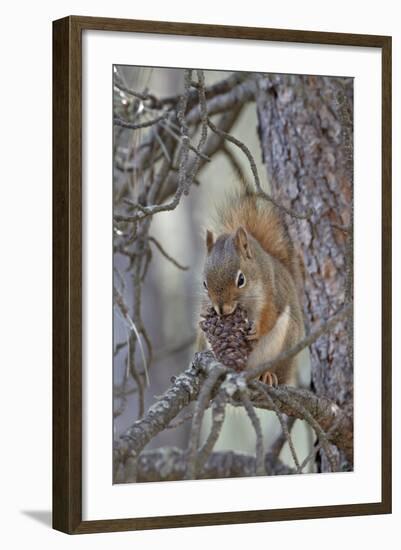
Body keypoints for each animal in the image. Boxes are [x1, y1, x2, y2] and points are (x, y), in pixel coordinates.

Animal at [198, 188, 304, 386]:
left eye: (241, 280)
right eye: (204, 284)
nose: (221, 310)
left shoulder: (274, 292)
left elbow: (270, 315)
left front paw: (257, 330)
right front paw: (205, 316)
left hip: (285, 345)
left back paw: (268, 375)